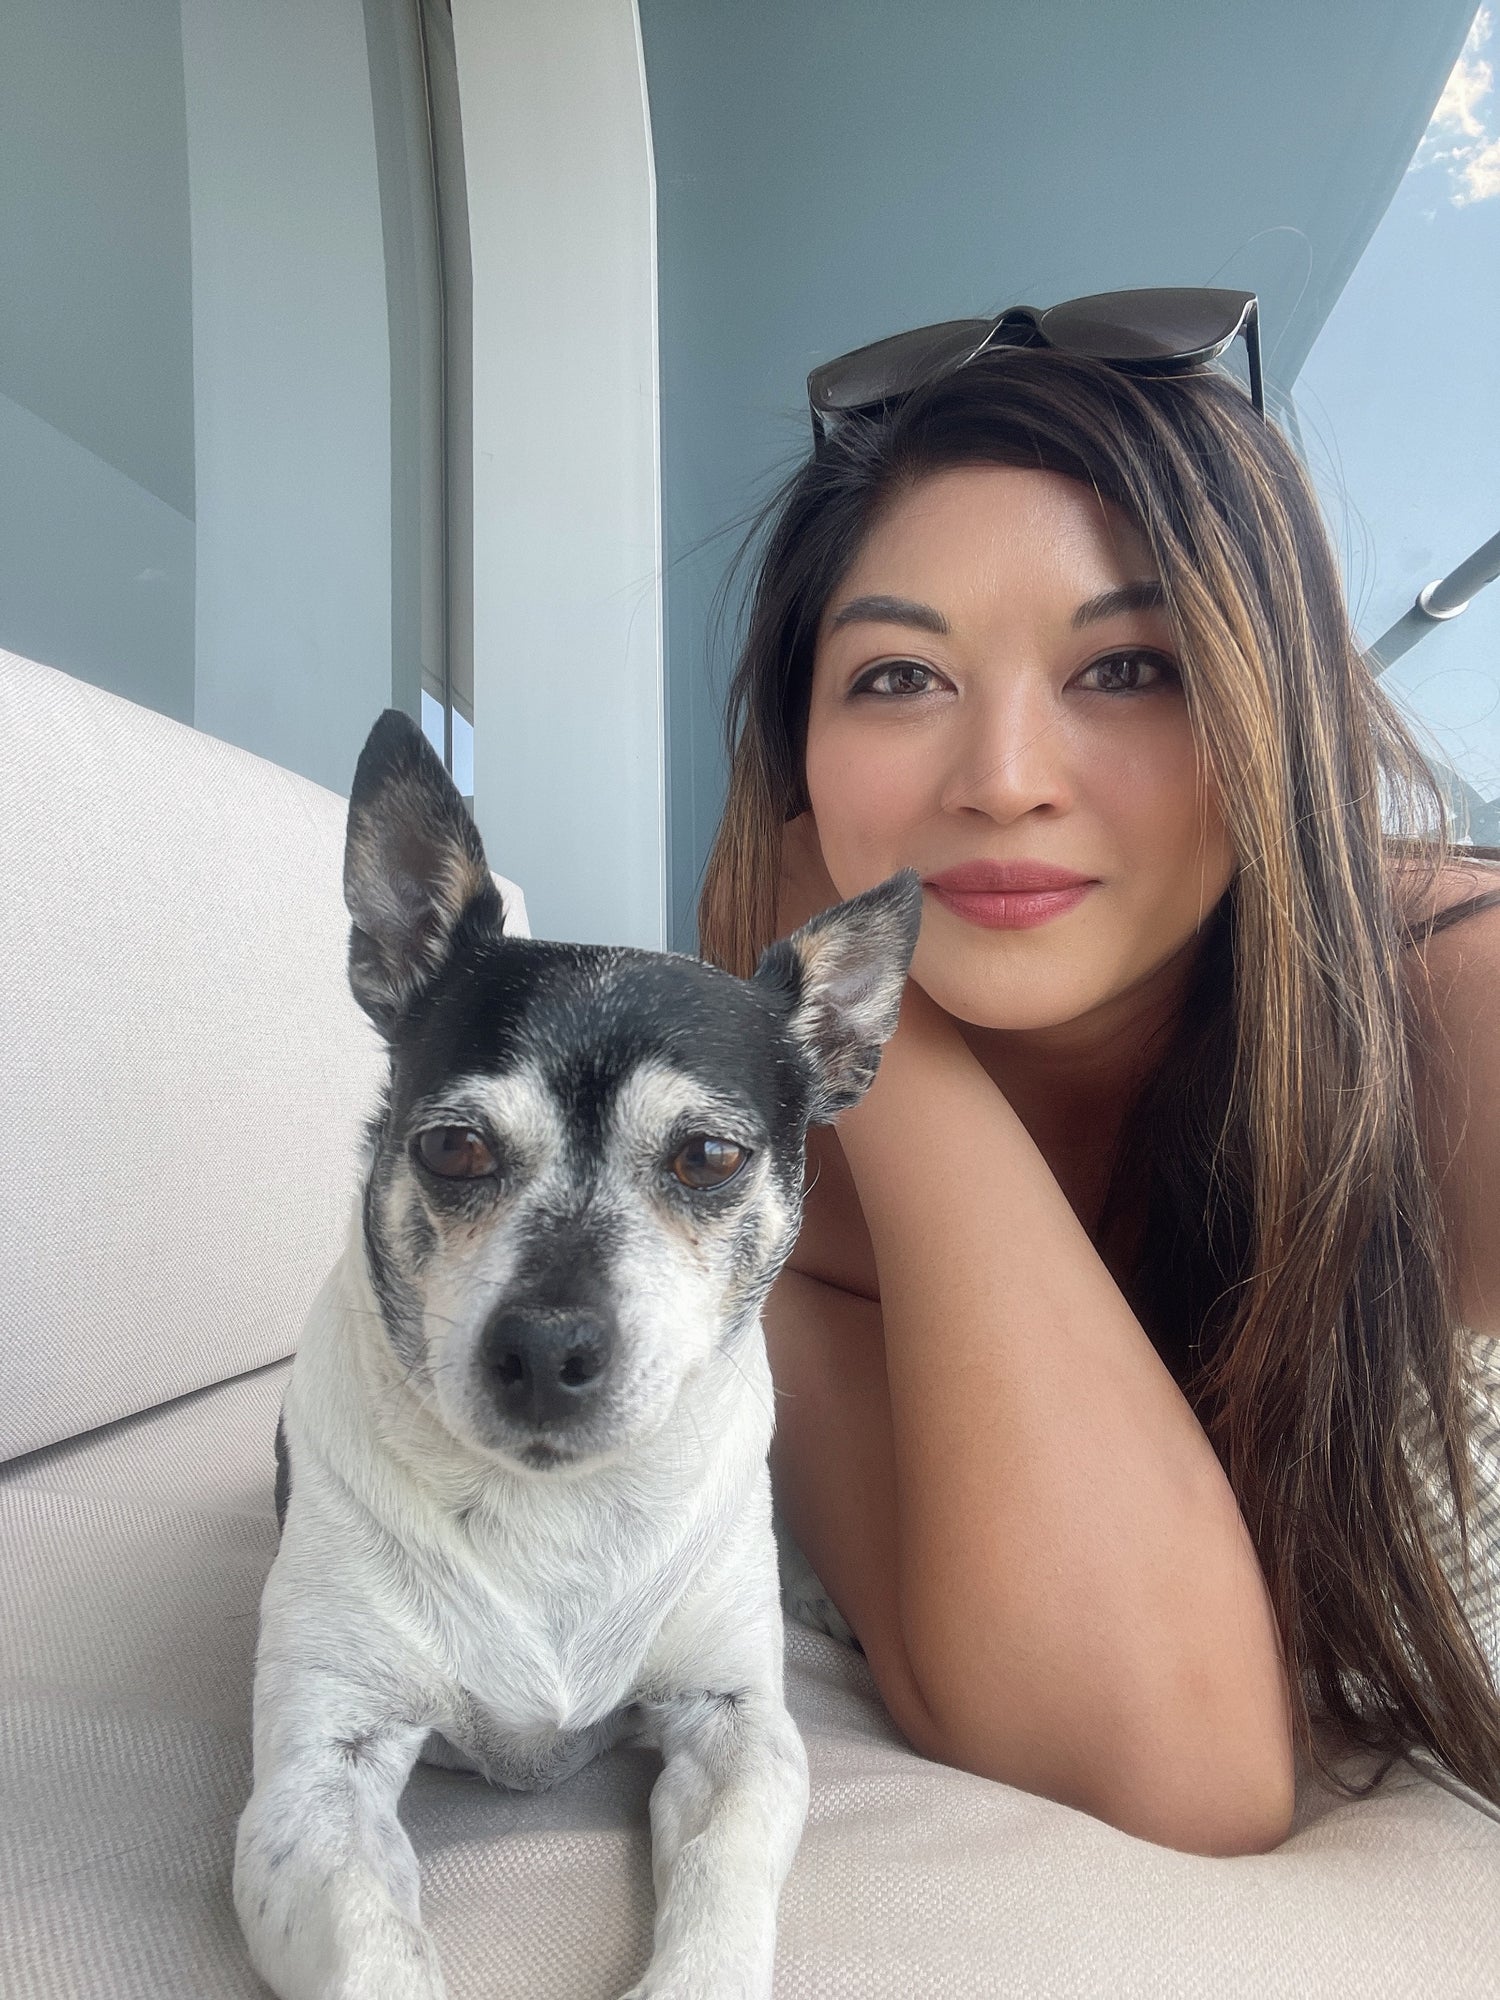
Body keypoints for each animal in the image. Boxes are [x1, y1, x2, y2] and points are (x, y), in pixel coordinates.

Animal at [232, 712, 928, 1992]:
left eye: (708, 1155)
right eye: (452, 1146)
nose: (548, 1343)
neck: (551, 1506)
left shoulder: (738, 1725)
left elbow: (720, 1889)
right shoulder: (314, 1779)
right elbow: (373, 1950)